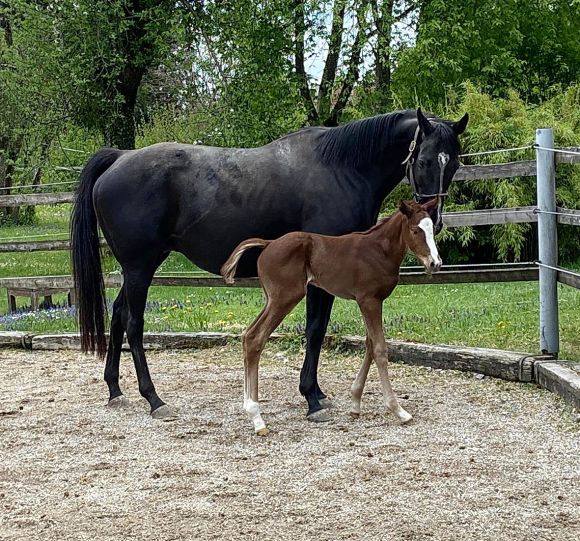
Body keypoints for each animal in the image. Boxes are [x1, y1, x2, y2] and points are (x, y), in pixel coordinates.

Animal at [221, 198, 440, 434]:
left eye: (433, 229)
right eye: (415, 230)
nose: (435, 263)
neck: (379, 250)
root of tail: (268, 243)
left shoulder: (370, 302)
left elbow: (370, 346)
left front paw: (355, 404)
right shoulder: (369, 300)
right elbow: (380, 350)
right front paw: (398, 410)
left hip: (271, 299)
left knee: (247, 336)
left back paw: (249, 409)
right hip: (284, 298)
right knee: (256, 338)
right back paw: (257, 418)